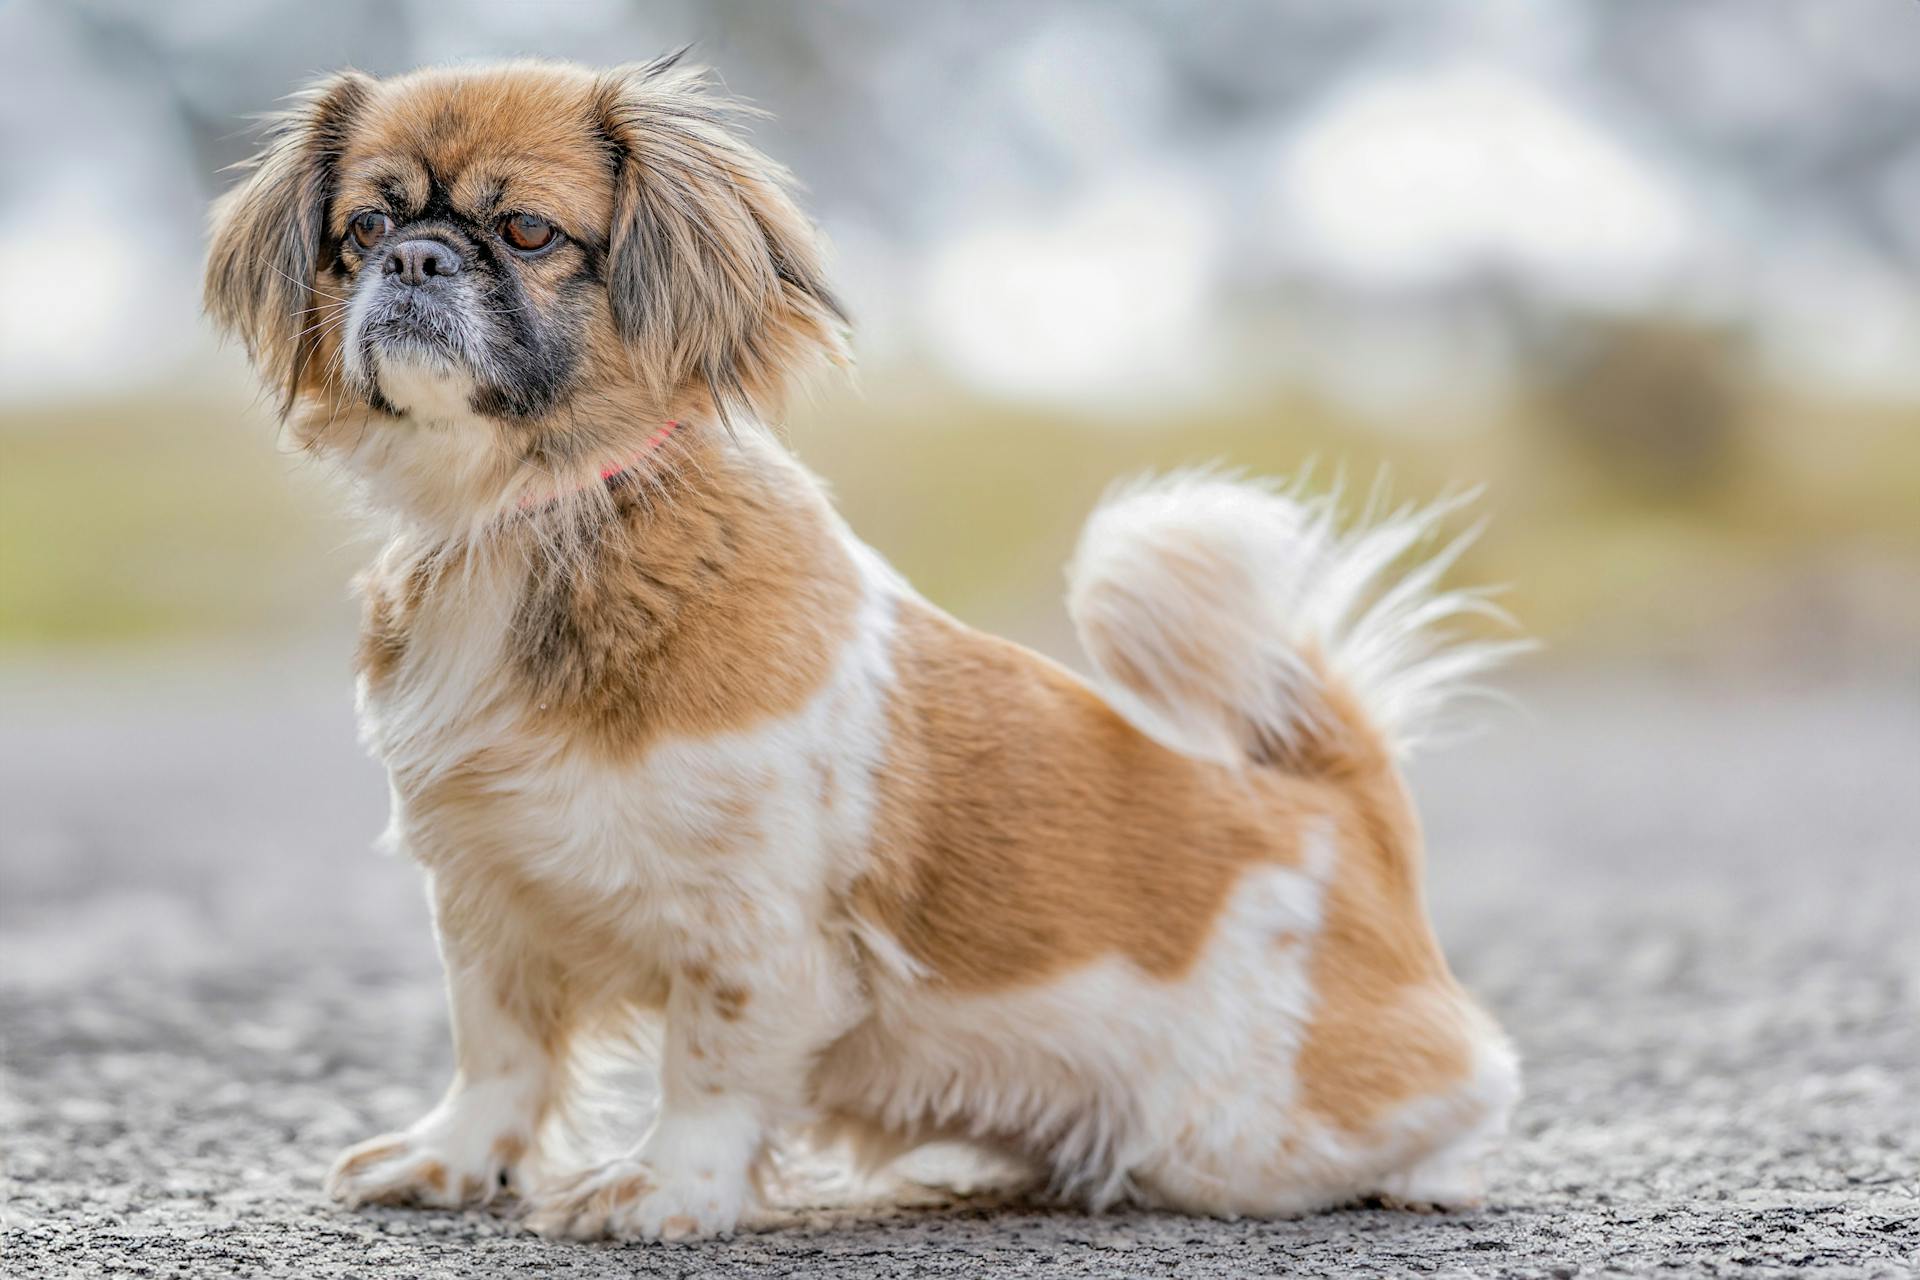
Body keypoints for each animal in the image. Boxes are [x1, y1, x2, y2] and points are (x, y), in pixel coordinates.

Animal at [202, 57, 1520, 1243]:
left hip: (1245, 1137)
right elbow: (499, 1049)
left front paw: (666, 1190)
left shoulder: (754, 928)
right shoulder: (485, 894)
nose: (416, 258)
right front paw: (455, 1159)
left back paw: (1432, 1173)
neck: (523, 518)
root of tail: (1334, 809)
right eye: (365, 226)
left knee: (1474, 1081)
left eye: (526, 228)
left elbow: (709, 1062)